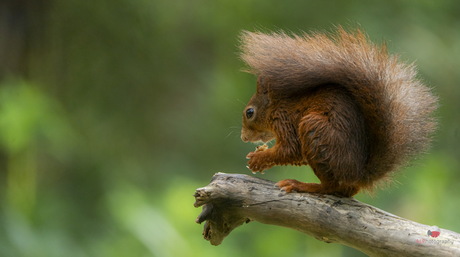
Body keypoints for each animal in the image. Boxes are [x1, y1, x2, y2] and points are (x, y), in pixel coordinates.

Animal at [239, 28, 436, 196]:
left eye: (250, 112)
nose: (244, 138)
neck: (277, 106)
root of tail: (358, 175)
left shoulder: (285, 121)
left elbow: (291, 150)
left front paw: (258, 158)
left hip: (315, 129)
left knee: (331, 187)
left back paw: (302, 185)